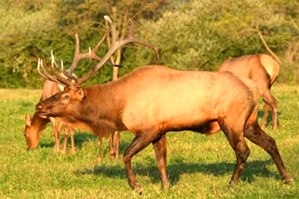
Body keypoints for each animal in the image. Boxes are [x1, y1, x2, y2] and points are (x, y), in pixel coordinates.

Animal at [34, 15, 292, 194]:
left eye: (65, 96)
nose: (40, 107)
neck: (118, 107)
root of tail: (252, 89)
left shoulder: (147, 128)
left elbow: (126, 154)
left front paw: (137, 186)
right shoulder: (161, 129)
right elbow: (161, 160)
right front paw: (165, 187)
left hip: (232, 119)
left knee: (243, 151)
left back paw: (230, 185)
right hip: (249, 120)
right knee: (270, 142)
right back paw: (287, 178)